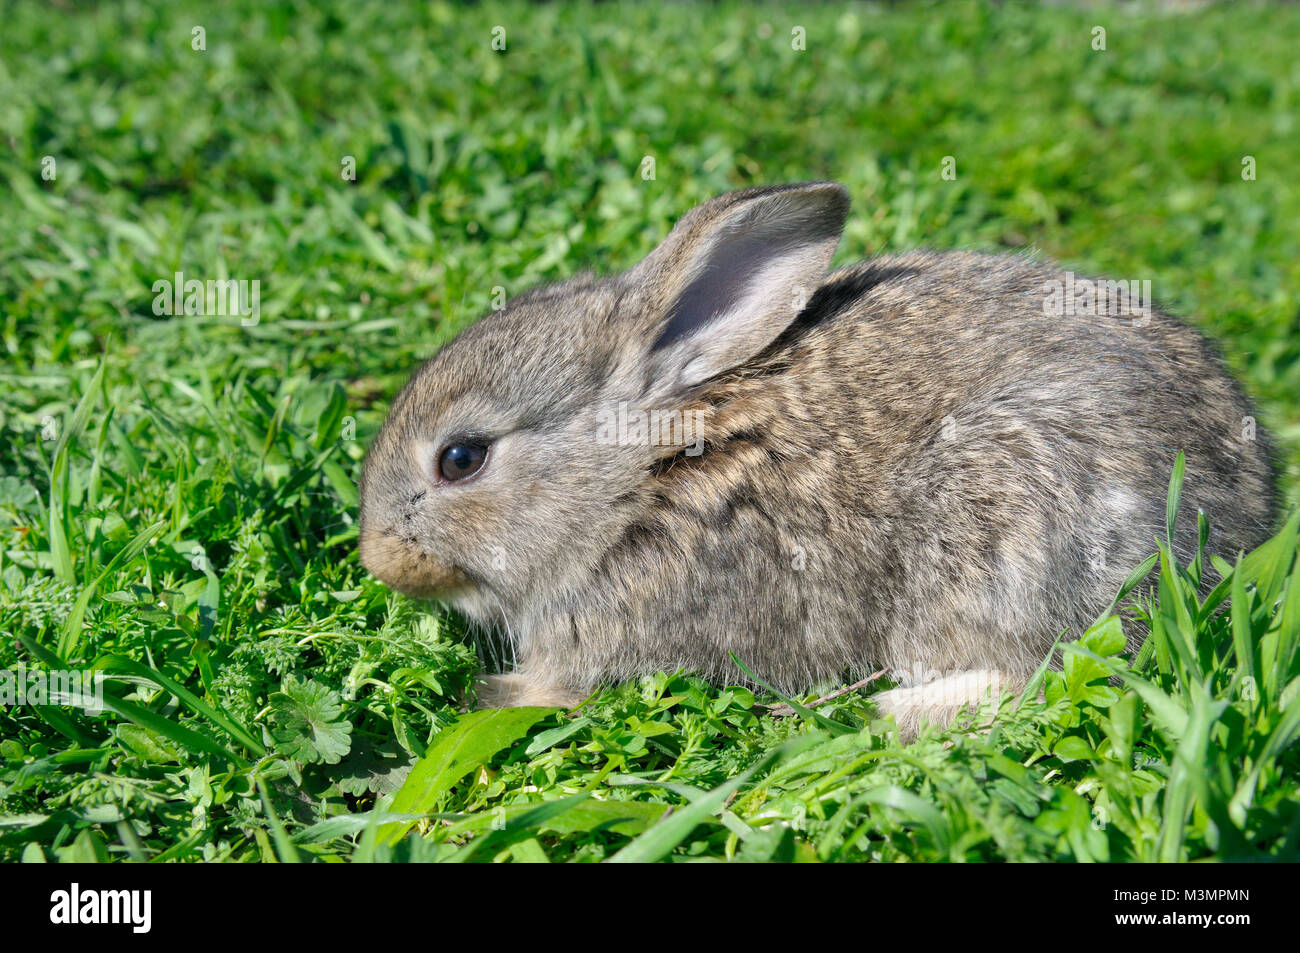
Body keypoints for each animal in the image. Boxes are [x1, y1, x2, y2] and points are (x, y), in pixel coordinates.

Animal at [359, 181, 1278, 736]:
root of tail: (1254, 524)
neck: (643, 473)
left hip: (1010, 529)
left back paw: (888, 711)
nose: (378, 559)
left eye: (462, 458)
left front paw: (492, 694)